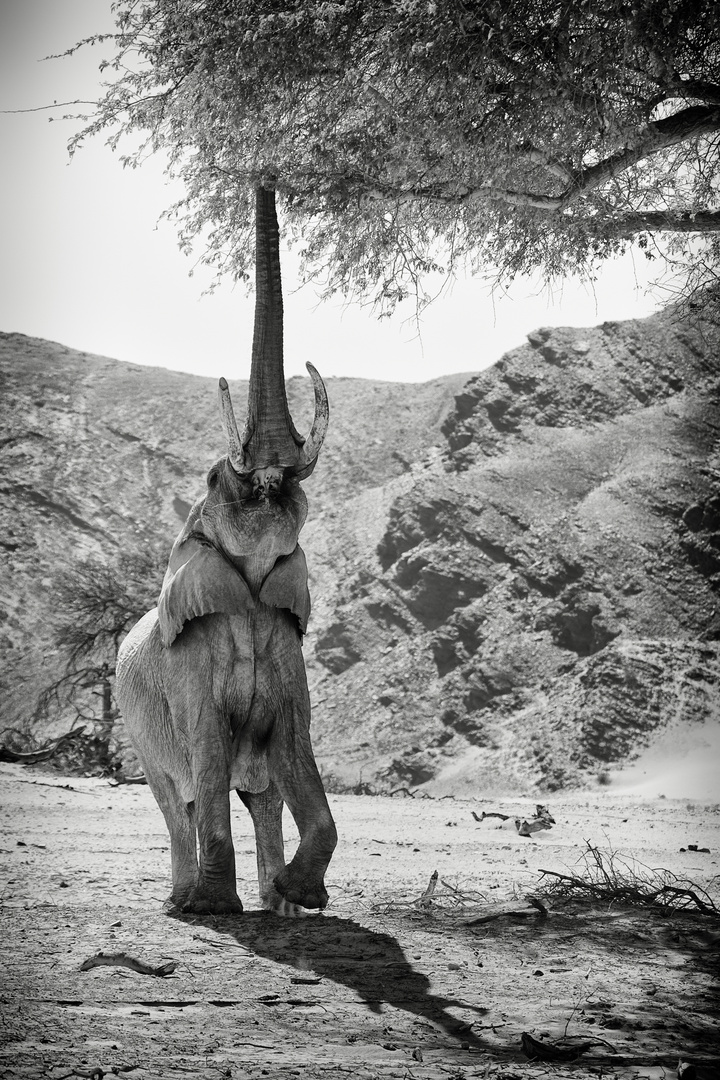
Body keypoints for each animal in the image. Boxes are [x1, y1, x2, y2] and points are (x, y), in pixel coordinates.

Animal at [117, 183, 338, 911]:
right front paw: (214, 907)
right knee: (175, 798)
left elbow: (294, 746)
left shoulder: (286, 640)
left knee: (262, 794)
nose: (266, 175)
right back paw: (183, 903)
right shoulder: (188, 663)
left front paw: (304, 896)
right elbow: (208, 746)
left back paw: (279, 907)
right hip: (138, 729)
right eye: (218, 481)